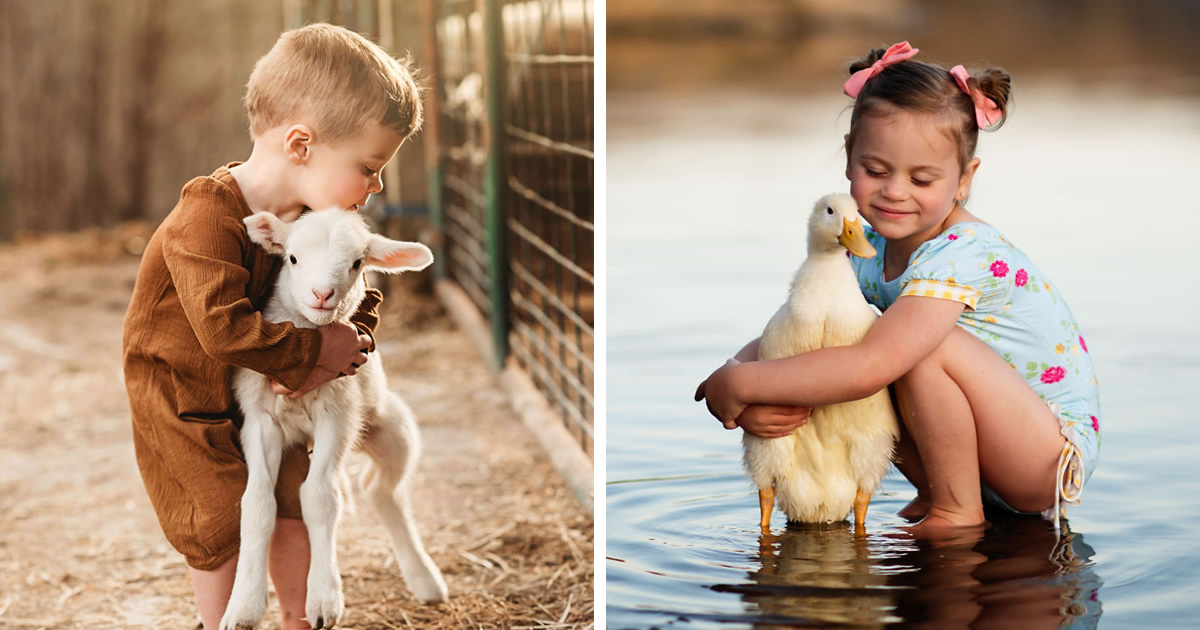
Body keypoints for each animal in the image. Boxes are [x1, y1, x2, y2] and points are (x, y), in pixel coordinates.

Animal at [219, 208, 446, 628]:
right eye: (292, 258)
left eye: (357, 264)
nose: (321, 295)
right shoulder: (260, 417)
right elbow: (257, 502)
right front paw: (243, 608)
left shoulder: (338, 414)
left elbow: (320, 497)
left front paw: (324, 599)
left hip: (393, 428)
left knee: (382, 489)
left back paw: (426, 580)